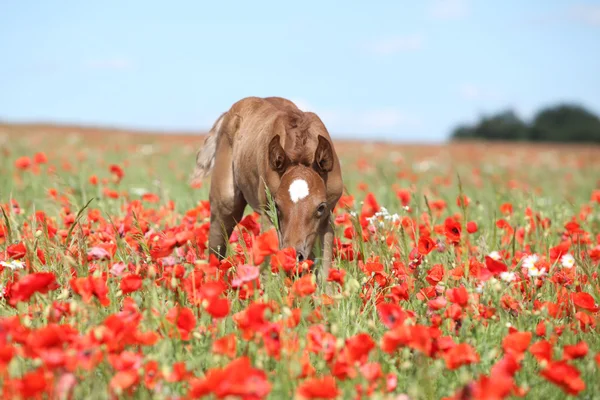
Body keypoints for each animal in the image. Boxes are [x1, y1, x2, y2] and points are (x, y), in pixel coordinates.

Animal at [190, 95, 344, 280]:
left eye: (320, 207)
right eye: (277, 206)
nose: (294, 254)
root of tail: (228, 114)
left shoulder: (327, 218)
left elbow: (323, 273)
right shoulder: (268, 214)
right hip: (225, 204)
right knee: (217, 246)